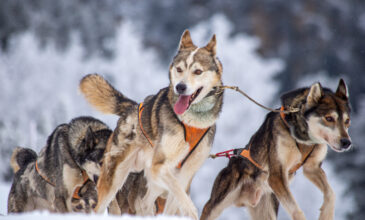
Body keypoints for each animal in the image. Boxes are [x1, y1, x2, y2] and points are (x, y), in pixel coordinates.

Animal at [79, 30, 222, 219]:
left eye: (198, 71)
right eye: (179, 69)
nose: (180, 87)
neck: (191, 121)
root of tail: (131, 108)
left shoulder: (186, 172)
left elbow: (176, 198)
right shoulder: (160, 166)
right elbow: (179, 193)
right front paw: (191, 210)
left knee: (145, 202)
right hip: (115, 176)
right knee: (104, 205)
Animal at [203, 79, 348, 220]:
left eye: (347, 121)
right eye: (329, 118)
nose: (347, 142)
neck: (304, 140)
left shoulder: (312, 169)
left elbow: (331, 193)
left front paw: (326, 215)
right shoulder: (276, 176)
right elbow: (297, 211)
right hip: (217, 204)